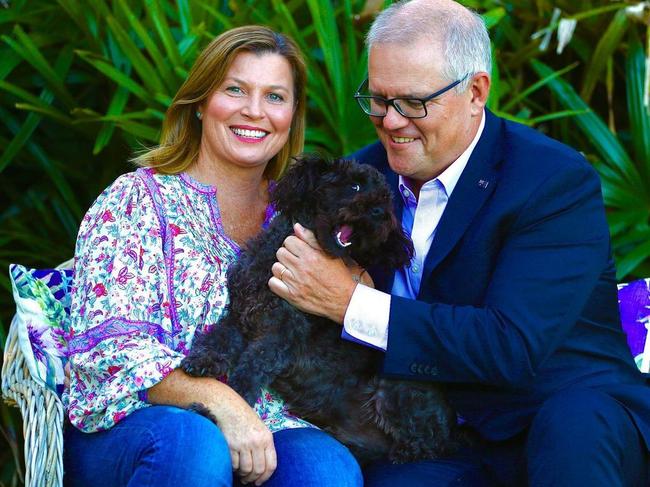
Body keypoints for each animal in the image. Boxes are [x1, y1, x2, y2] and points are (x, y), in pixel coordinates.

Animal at [180, 155, 460, 466]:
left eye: (386, 199)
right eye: (354, 185)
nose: (379, 213)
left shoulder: (279, 336)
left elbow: (246, 374)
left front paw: (215, 416)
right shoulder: (242, 315)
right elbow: (219, 337)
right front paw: (203, 359)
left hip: (395, 388)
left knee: (431, 444)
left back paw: (406, 452)